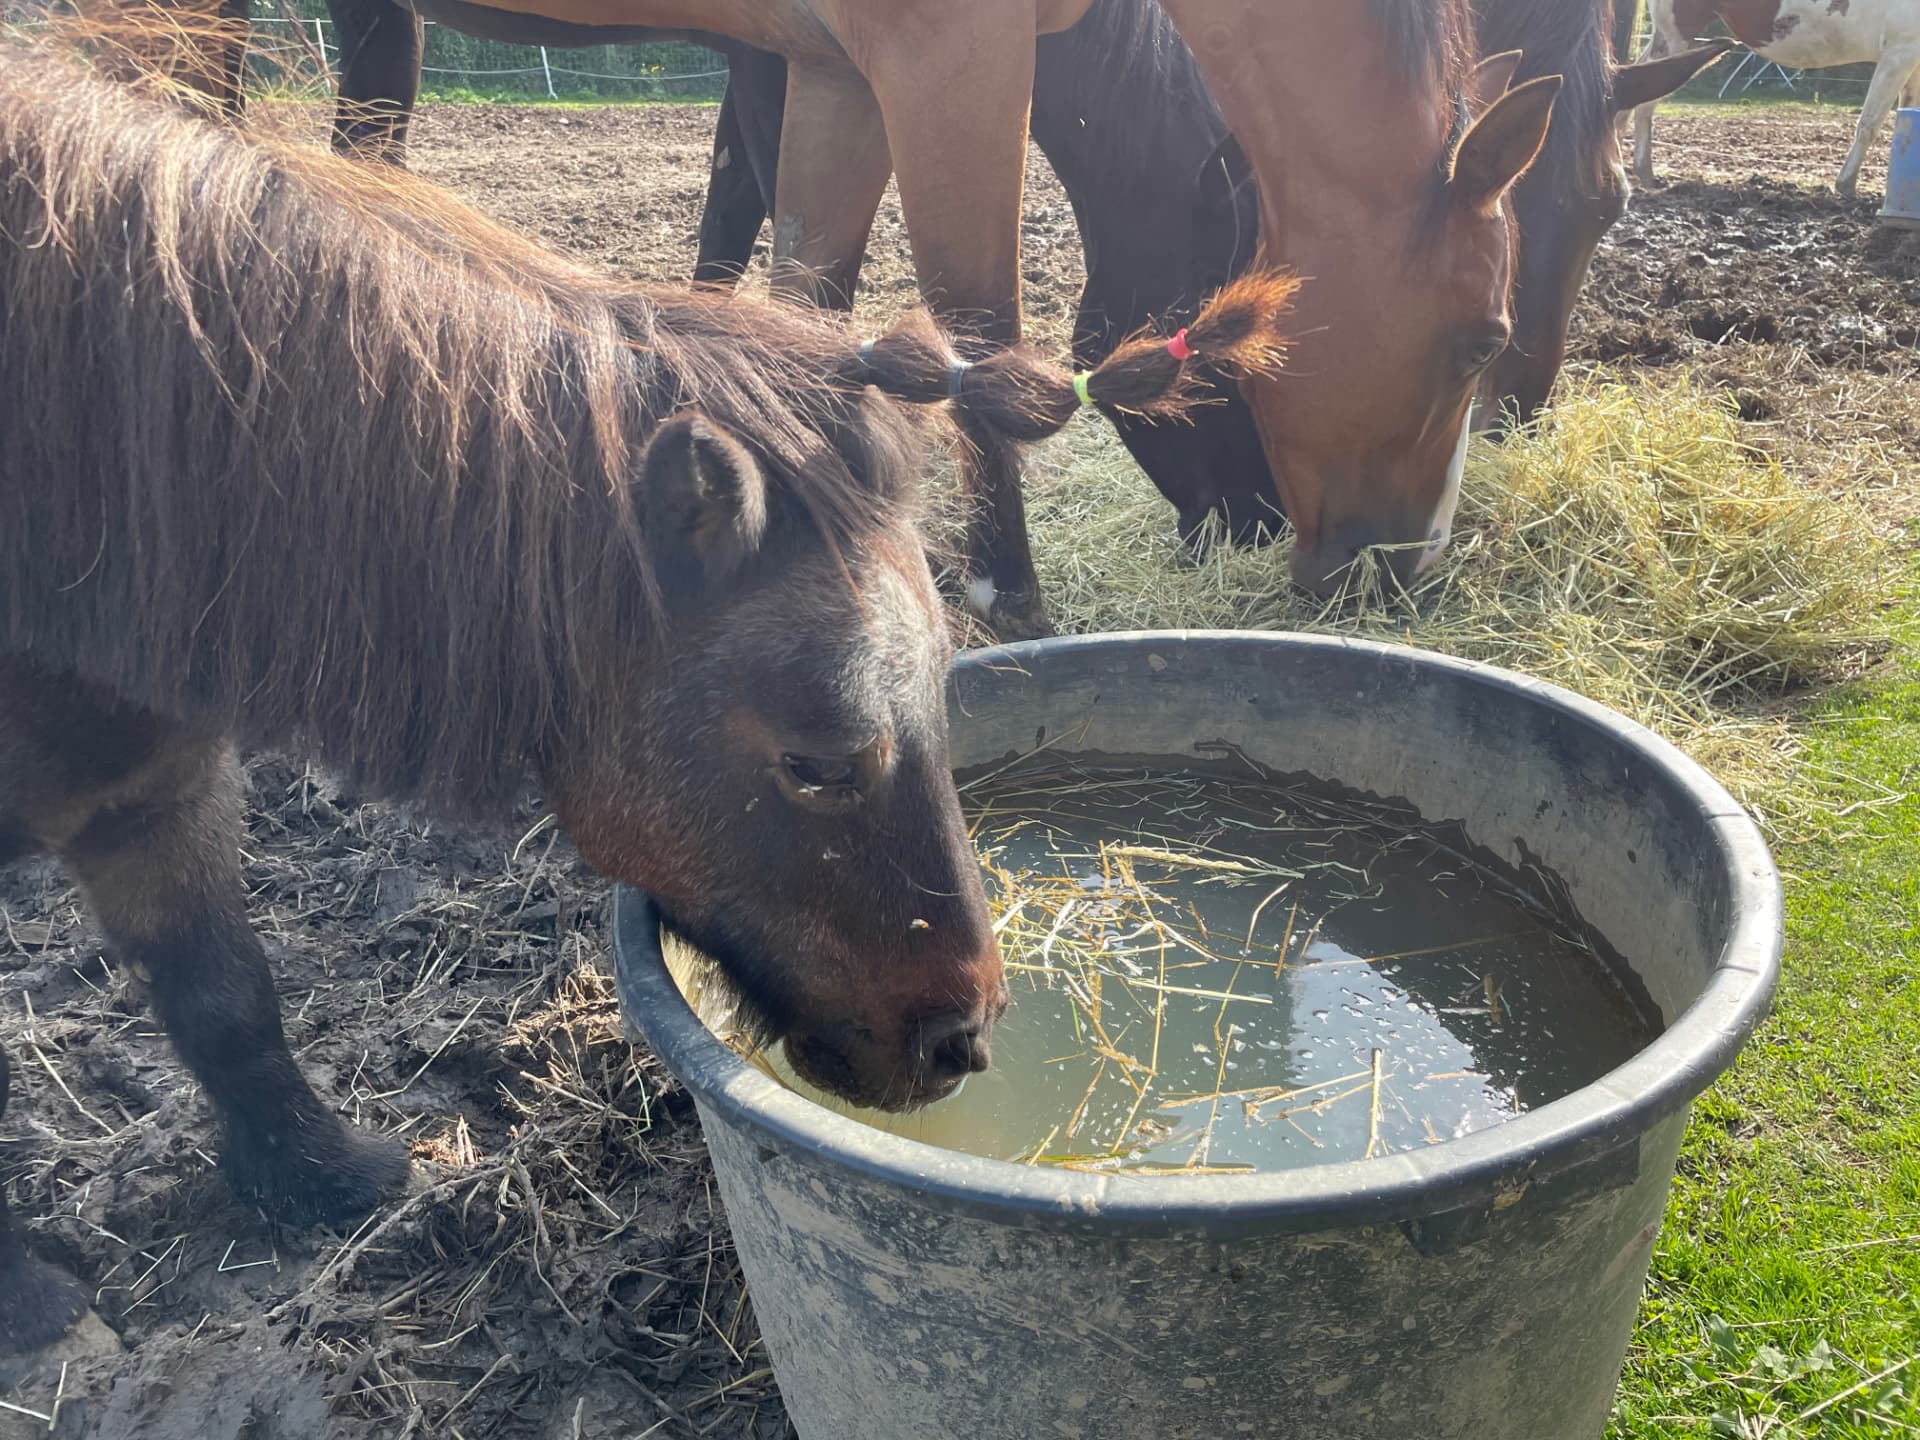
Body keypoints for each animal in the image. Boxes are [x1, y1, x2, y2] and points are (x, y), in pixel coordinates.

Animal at [0, 41, 1296, 1366]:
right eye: (816, 761)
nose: (962, 1043)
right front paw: (38, 1302)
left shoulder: (157, 787)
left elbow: (226, 998)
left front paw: (323, 1176)